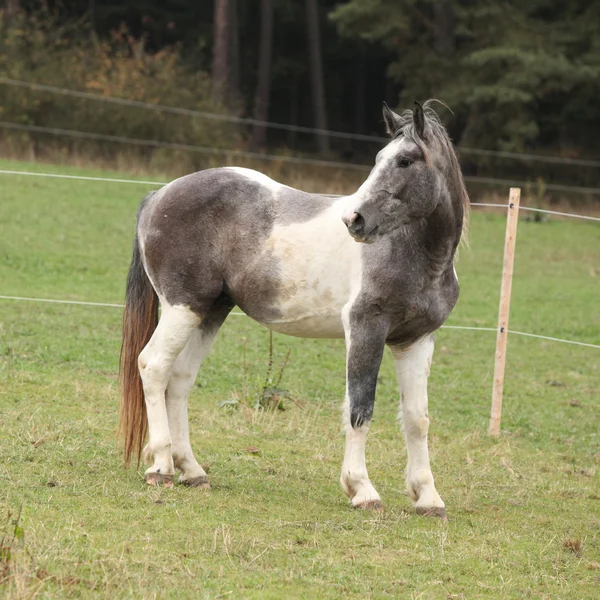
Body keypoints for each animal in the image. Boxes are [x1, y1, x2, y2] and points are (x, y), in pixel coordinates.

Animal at [119, 99, 472, 516]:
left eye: (405, 160)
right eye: (379, 158)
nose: (354, 220)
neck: (414, 253)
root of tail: (158, 196)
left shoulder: (415, 340)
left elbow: (418, 419)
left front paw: (428, 497)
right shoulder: (366, 327)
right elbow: (360, 409)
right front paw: (362, 489)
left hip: (210, 311)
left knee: (179, 380)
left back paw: (191, 470)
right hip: (182, 308)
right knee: (153, 366)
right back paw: (161, 466)